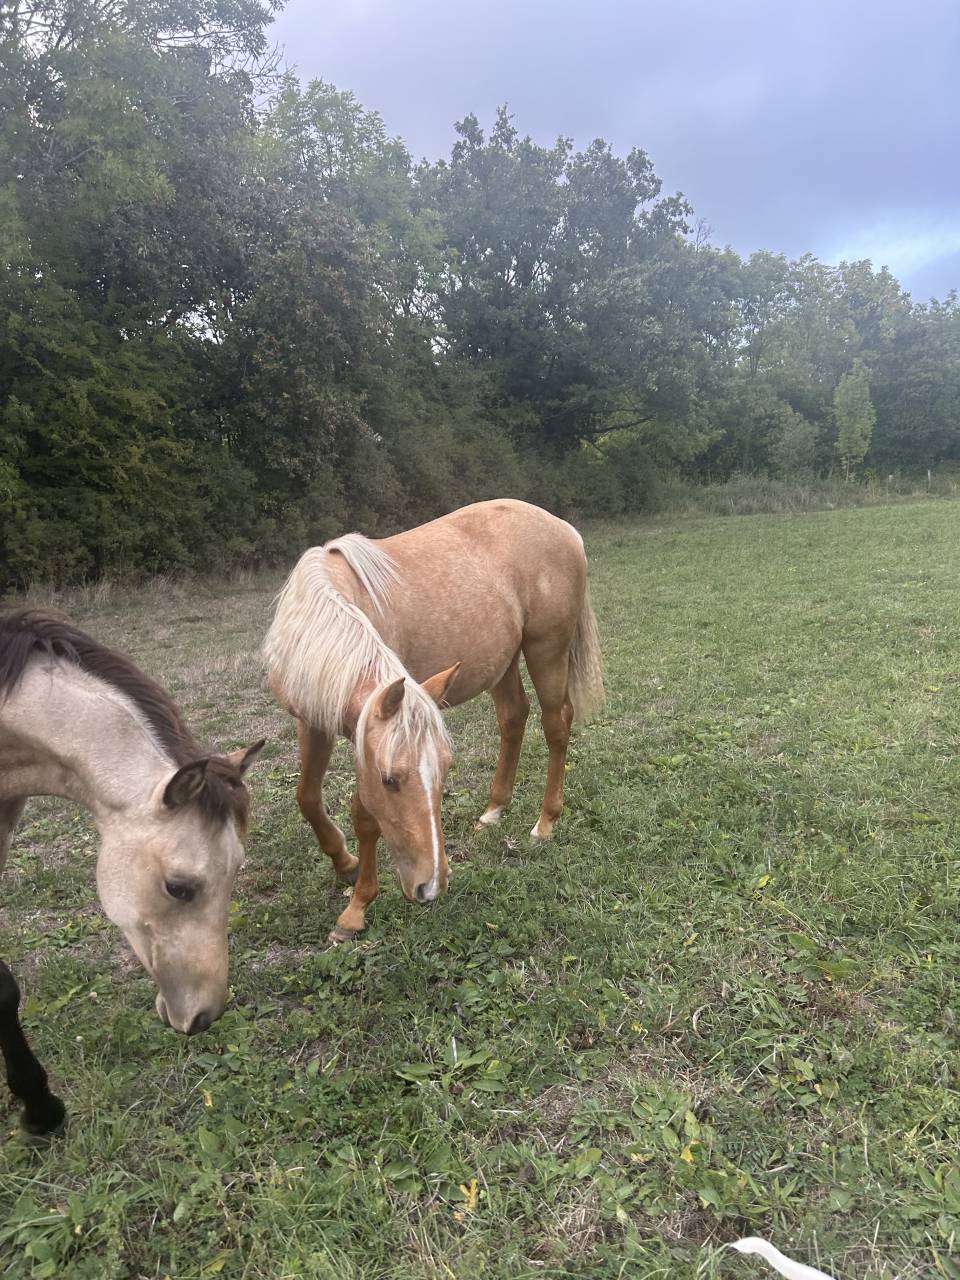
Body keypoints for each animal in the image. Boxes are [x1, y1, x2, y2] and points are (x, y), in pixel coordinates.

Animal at [264, 498, 603, 943]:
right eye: (391, 780)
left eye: (443, 772)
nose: (433, 884)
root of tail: (565, 529)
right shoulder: (314, 722)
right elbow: (307, 797)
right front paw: (345, 864)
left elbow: (363, 816)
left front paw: (356, 908)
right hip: (502, 661)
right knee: (513, 718)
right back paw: (493, 811)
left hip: (547, 650)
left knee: (556, 726)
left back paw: (544, 823)